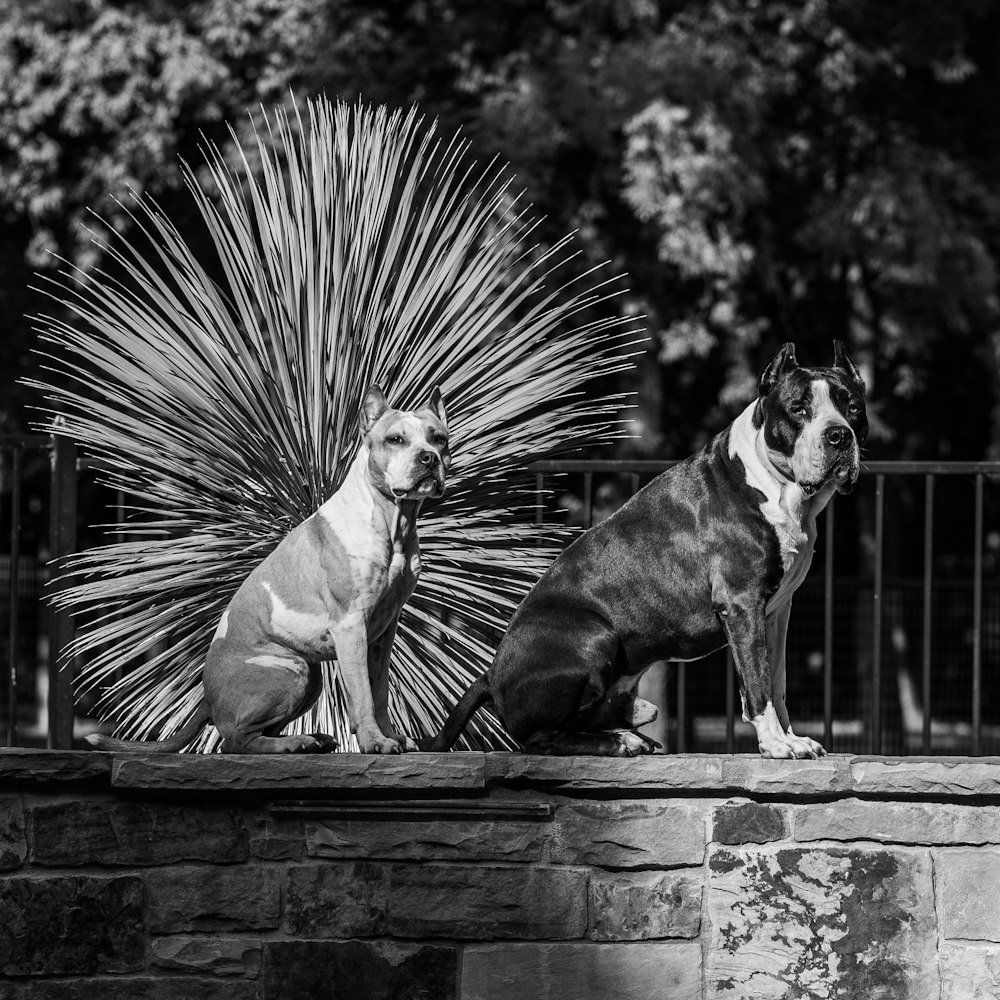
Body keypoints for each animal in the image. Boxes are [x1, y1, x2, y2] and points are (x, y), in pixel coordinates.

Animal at [426, 342, 864, 756]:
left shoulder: (776, 612)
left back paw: (629, 735)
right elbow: (757, 683)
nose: (839, 435)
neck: (775, 486)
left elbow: (777, 680)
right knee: (539, 739)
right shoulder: (742, 604)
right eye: (798, 409)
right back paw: (617, 743)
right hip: (594, 634)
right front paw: (776, 745)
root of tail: (492, 674)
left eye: (853, 408)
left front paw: (792, 737)